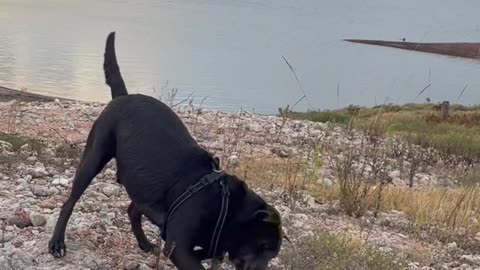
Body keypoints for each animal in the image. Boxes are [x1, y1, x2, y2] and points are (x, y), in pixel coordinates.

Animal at [47, 32, 284, 270]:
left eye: (273, 254)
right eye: (263, 246)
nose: (262, 268)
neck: (223, 205)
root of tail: (123, 96)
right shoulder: (179, 248)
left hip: (143, 184)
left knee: (133, 210)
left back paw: (143, 242)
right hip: (94, 158)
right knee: (69, 203)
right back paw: (57, 242)